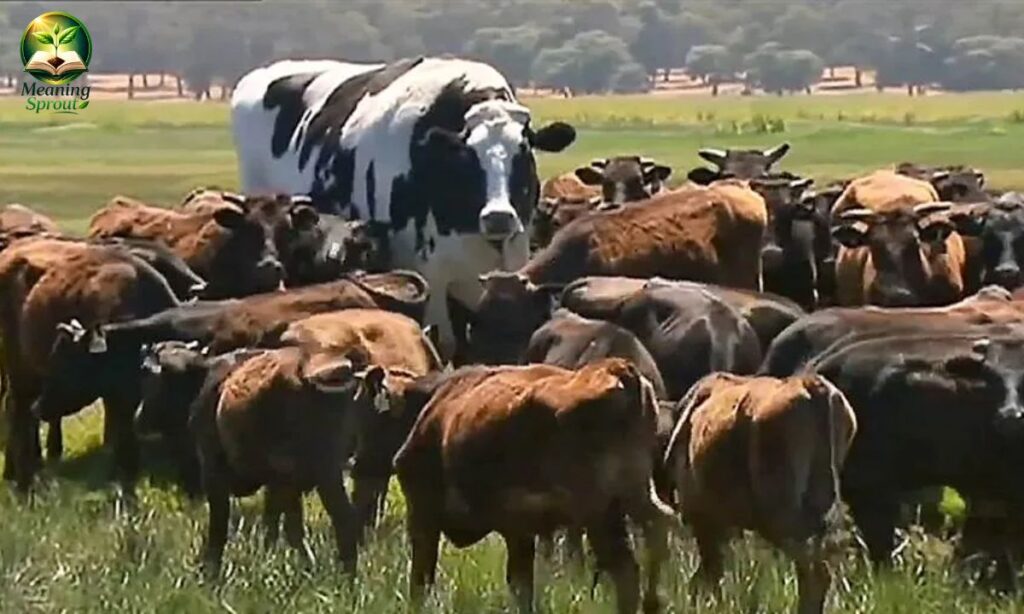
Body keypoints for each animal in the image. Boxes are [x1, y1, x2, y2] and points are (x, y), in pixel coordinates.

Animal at [0, 238, 179, 492]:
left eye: (70, 365)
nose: (41, 407)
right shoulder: (118, 396)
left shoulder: (126, 395)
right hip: (20, 372)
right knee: (18, 414)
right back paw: (23, 481)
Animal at [231, 57, 577, 355]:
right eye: (466, 155)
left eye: (524, 151)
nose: (498, 217)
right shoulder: (430, 276)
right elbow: (445, 343)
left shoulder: (512, 263)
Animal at [394, 359, 672, 613]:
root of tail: (620, 370)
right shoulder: (519, 530)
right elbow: (521, 585)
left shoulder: (424, 515)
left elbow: (421, 579)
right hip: (635, 494)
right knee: (659, 525)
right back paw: (653, 602)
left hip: (599, 512)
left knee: (625, 567)